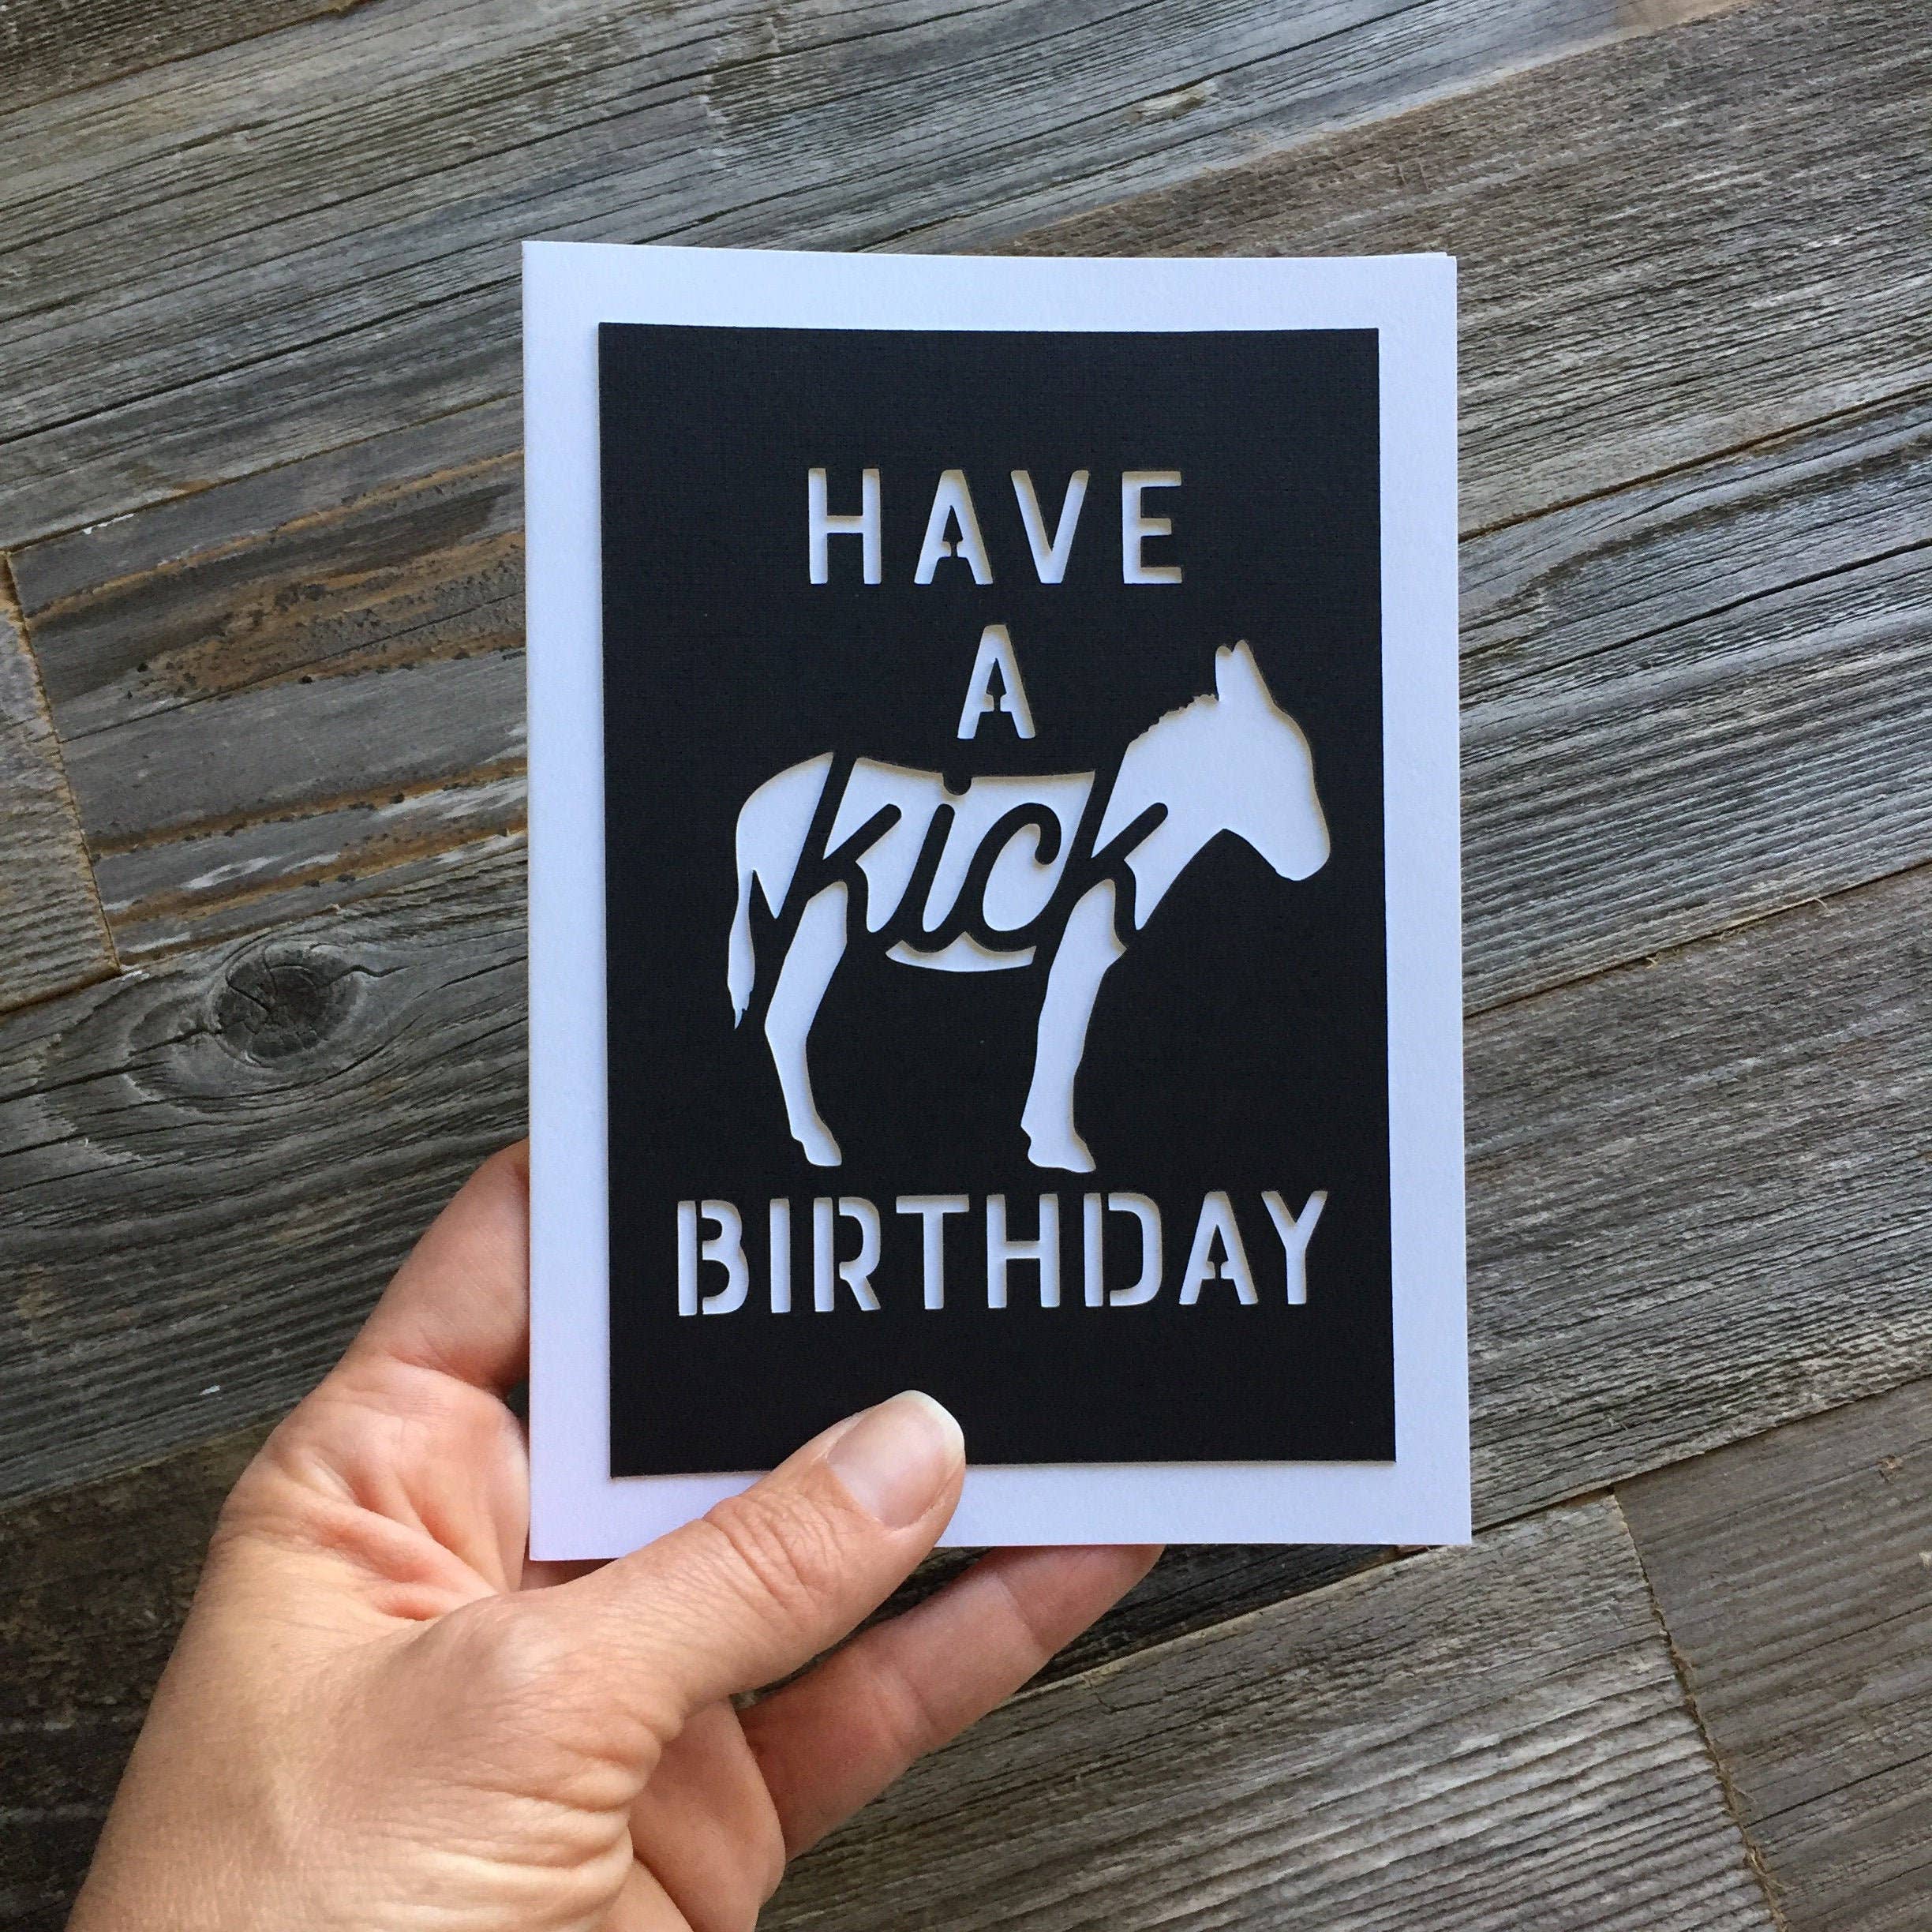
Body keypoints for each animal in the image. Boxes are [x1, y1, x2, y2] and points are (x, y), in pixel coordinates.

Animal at [728, 640, 1328, 1172]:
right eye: (1272, 770)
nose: (1317, 862)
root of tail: (756, 804)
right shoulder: (1079, 947)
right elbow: (1062, 1040)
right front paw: (1059, 1149)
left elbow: (1055, 1036)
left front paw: (1041, 1139)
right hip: (821, 919)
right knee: (785, 1019)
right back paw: (819, 1144)